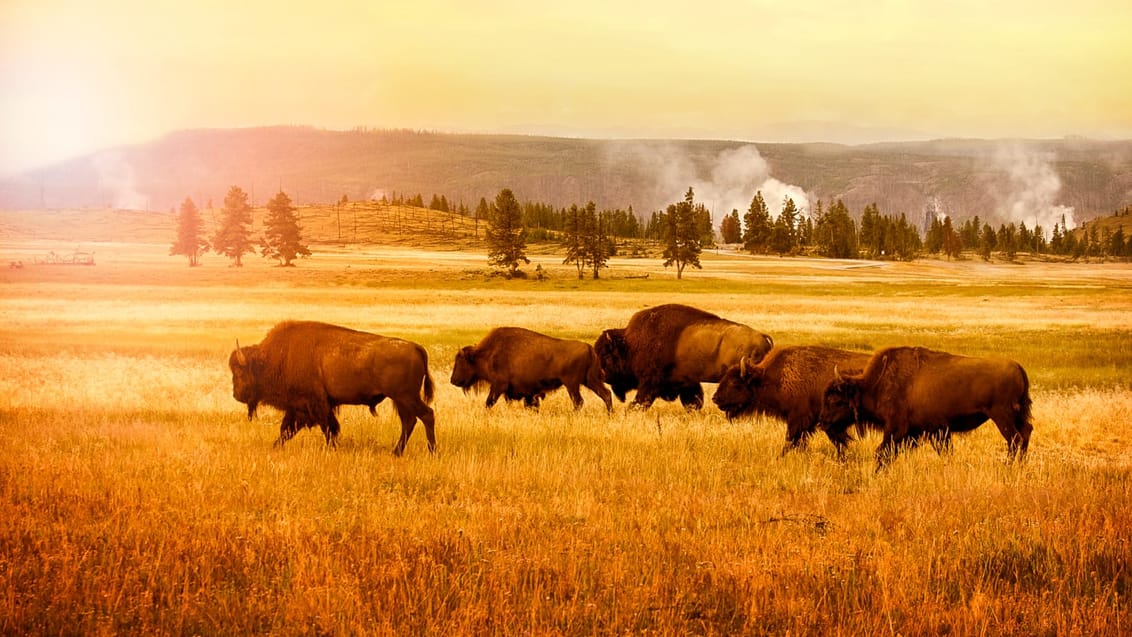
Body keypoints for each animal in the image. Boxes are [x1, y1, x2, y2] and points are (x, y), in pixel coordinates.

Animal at [229, 321, 436, 457]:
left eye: (240, 371)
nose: (236, 394)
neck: (276, 357)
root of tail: (416, 347)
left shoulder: (314, 404)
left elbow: (327, 428)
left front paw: (333, 449)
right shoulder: (298, 408)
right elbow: (286, 430)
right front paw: (275, 446)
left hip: (406, 397)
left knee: (426, 415)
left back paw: (431, 452)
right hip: (400, 400)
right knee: (409, 421)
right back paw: (397, 452)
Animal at [448, 325, 615, 411]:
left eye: (461, 362)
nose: (453, 380)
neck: (489, 353)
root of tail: (589, 348)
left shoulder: (498, 386)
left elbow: (489, 402)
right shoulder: (525, 393)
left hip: (572, 384)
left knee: (579, 401)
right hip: (589, 380)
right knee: (606, 394)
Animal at [597, 303, 774, 409]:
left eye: (606, 355)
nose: (602, 375)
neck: (630, 344)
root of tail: (762, 337)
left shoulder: (649, 383)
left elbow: (640, 401)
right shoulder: (688, 383)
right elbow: (693, 402)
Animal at [819, 346, 1032, 470]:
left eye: (836, 400)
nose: (822, 423)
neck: (874, 385)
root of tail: (1017, 366)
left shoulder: (897, 429)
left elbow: (882, 452)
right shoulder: (935, 431)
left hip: (1001, 415)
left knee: (1015, 439)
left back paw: (1008, 466)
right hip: (1017, 415)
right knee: (1026, 433)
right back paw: (1020, 466)